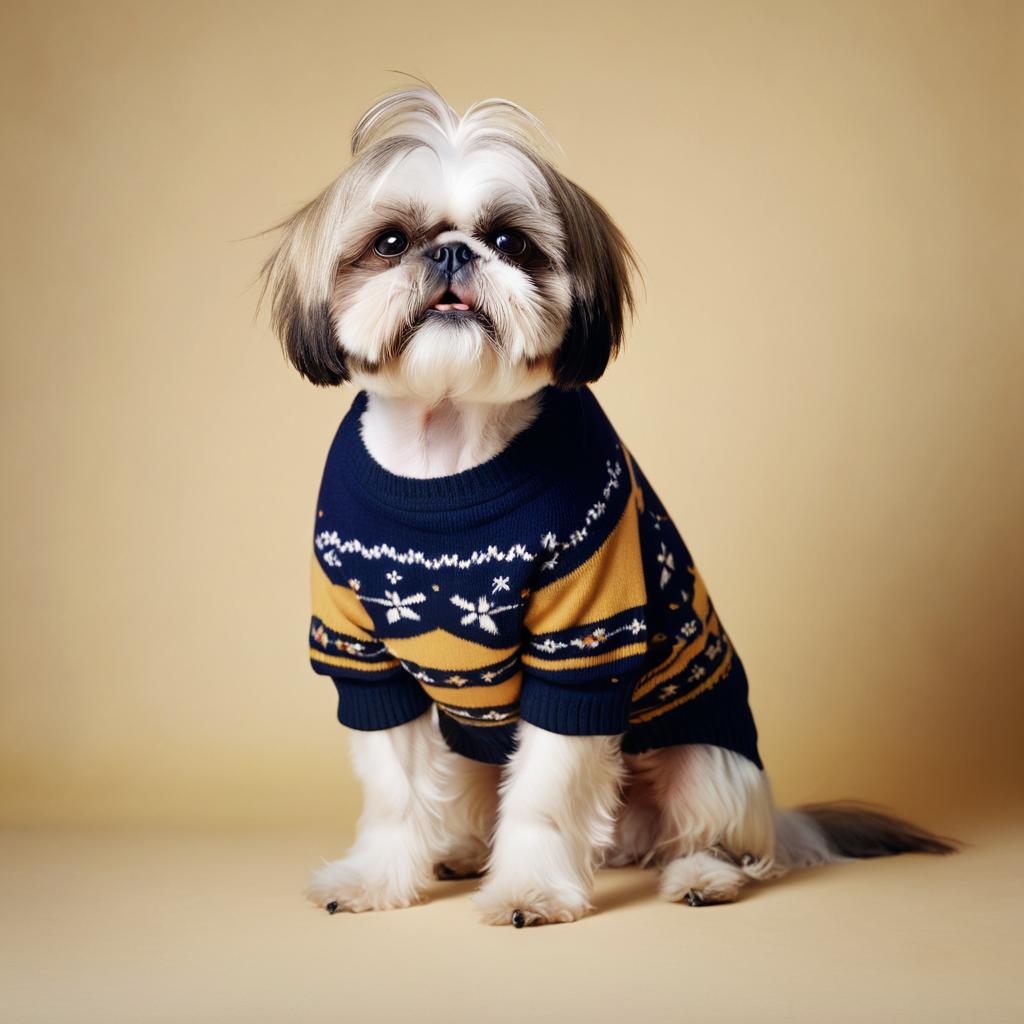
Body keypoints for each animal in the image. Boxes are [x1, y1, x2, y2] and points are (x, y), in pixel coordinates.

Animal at [260, 83, 954, 925]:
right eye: (390, 242)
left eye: (511, 241)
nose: (455, 251)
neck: (448, 449)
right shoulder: (363, 663)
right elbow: (395, 796)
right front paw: (376, 879)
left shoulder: (582, 656)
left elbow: (543, 798)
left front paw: (529, 890)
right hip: (468, 754)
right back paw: (459, 853)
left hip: (709, 762)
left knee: (726, 841)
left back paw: (703, 875)